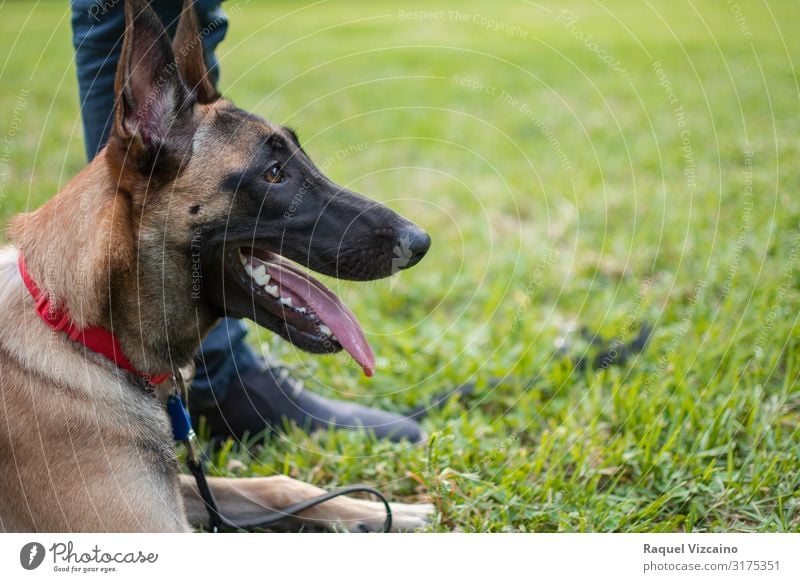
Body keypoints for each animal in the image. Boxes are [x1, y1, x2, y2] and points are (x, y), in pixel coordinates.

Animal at [0, 0, 434, 532]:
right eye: (274, 175)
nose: (420, 241)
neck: (79, 328)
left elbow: (276, 485)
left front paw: (382, 511)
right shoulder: (150, 525)